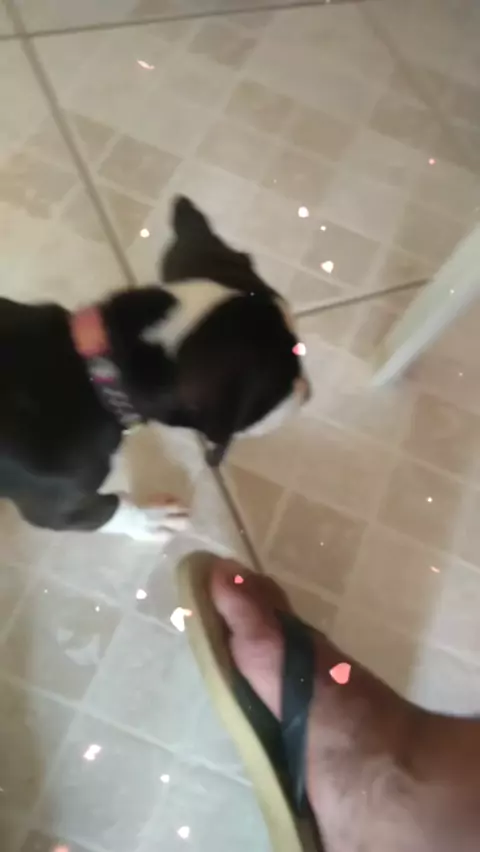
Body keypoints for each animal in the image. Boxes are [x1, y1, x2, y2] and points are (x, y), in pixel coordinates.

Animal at [0, 197, 310, 542]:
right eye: (287, 376)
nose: (307, 389)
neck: (94, 370)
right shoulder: (59, 504)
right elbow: (111, 508)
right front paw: (153, 519)